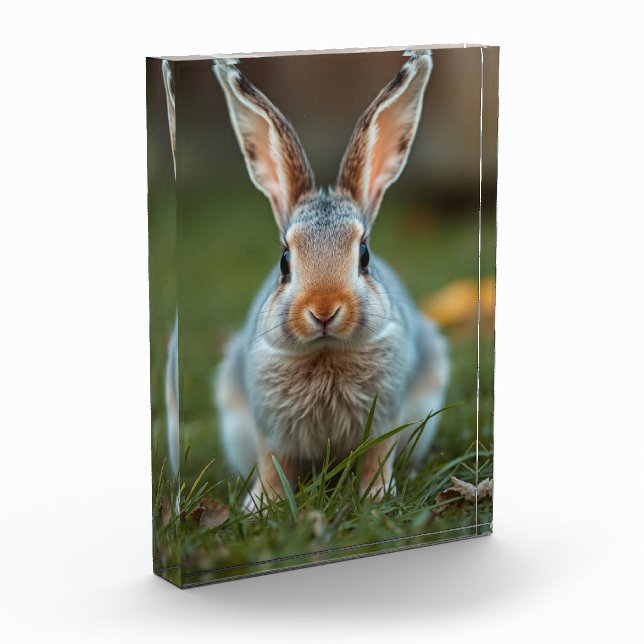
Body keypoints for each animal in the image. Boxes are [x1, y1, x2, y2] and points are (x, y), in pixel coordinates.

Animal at [213, 51, 449, 511]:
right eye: (285, 261)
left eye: (364, 256)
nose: (324, 310)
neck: (326, 352)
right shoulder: (269, 428)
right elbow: (273, 466)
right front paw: (261, 506)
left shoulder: (385, 418)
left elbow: (377, 457)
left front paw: (376, 497)